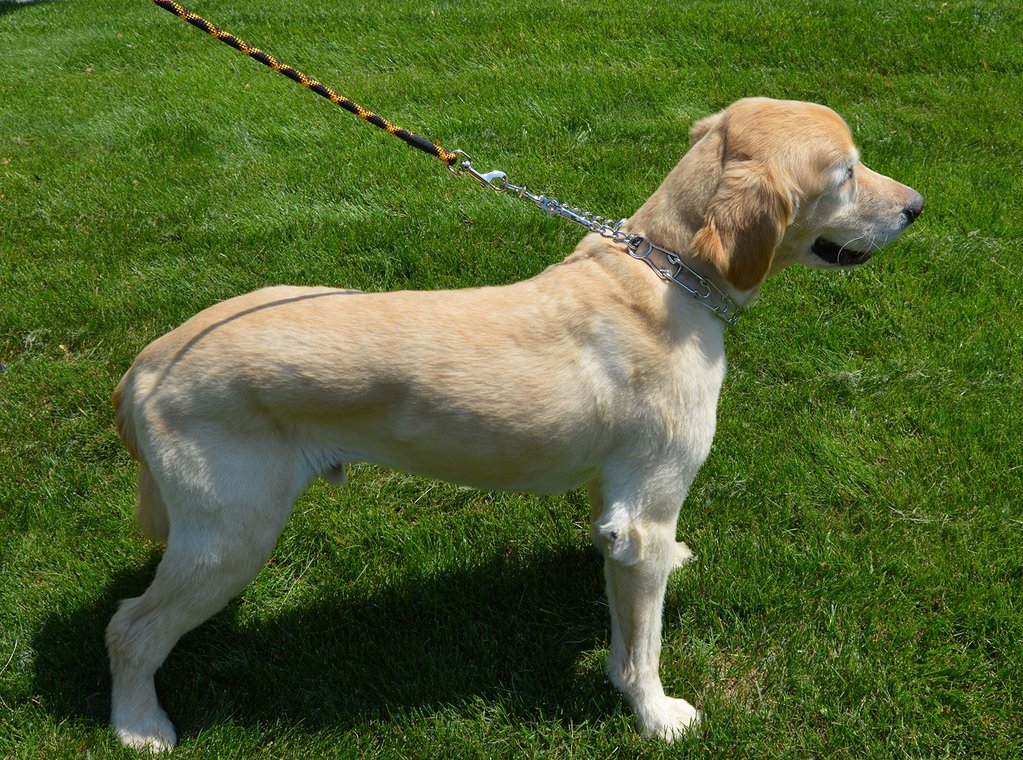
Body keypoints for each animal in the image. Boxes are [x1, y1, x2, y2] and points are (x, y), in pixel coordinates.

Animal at [107, 98, 924, 752]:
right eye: (846, 173)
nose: (917, 205)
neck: (668, 274)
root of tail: (146, 363)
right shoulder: (645, 513)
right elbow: (644, 647)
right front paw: (656, 717)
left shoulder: (616, 511)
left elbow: (623, 615)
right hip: (231, 535)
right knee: (129, 629)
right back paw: (139, 726)